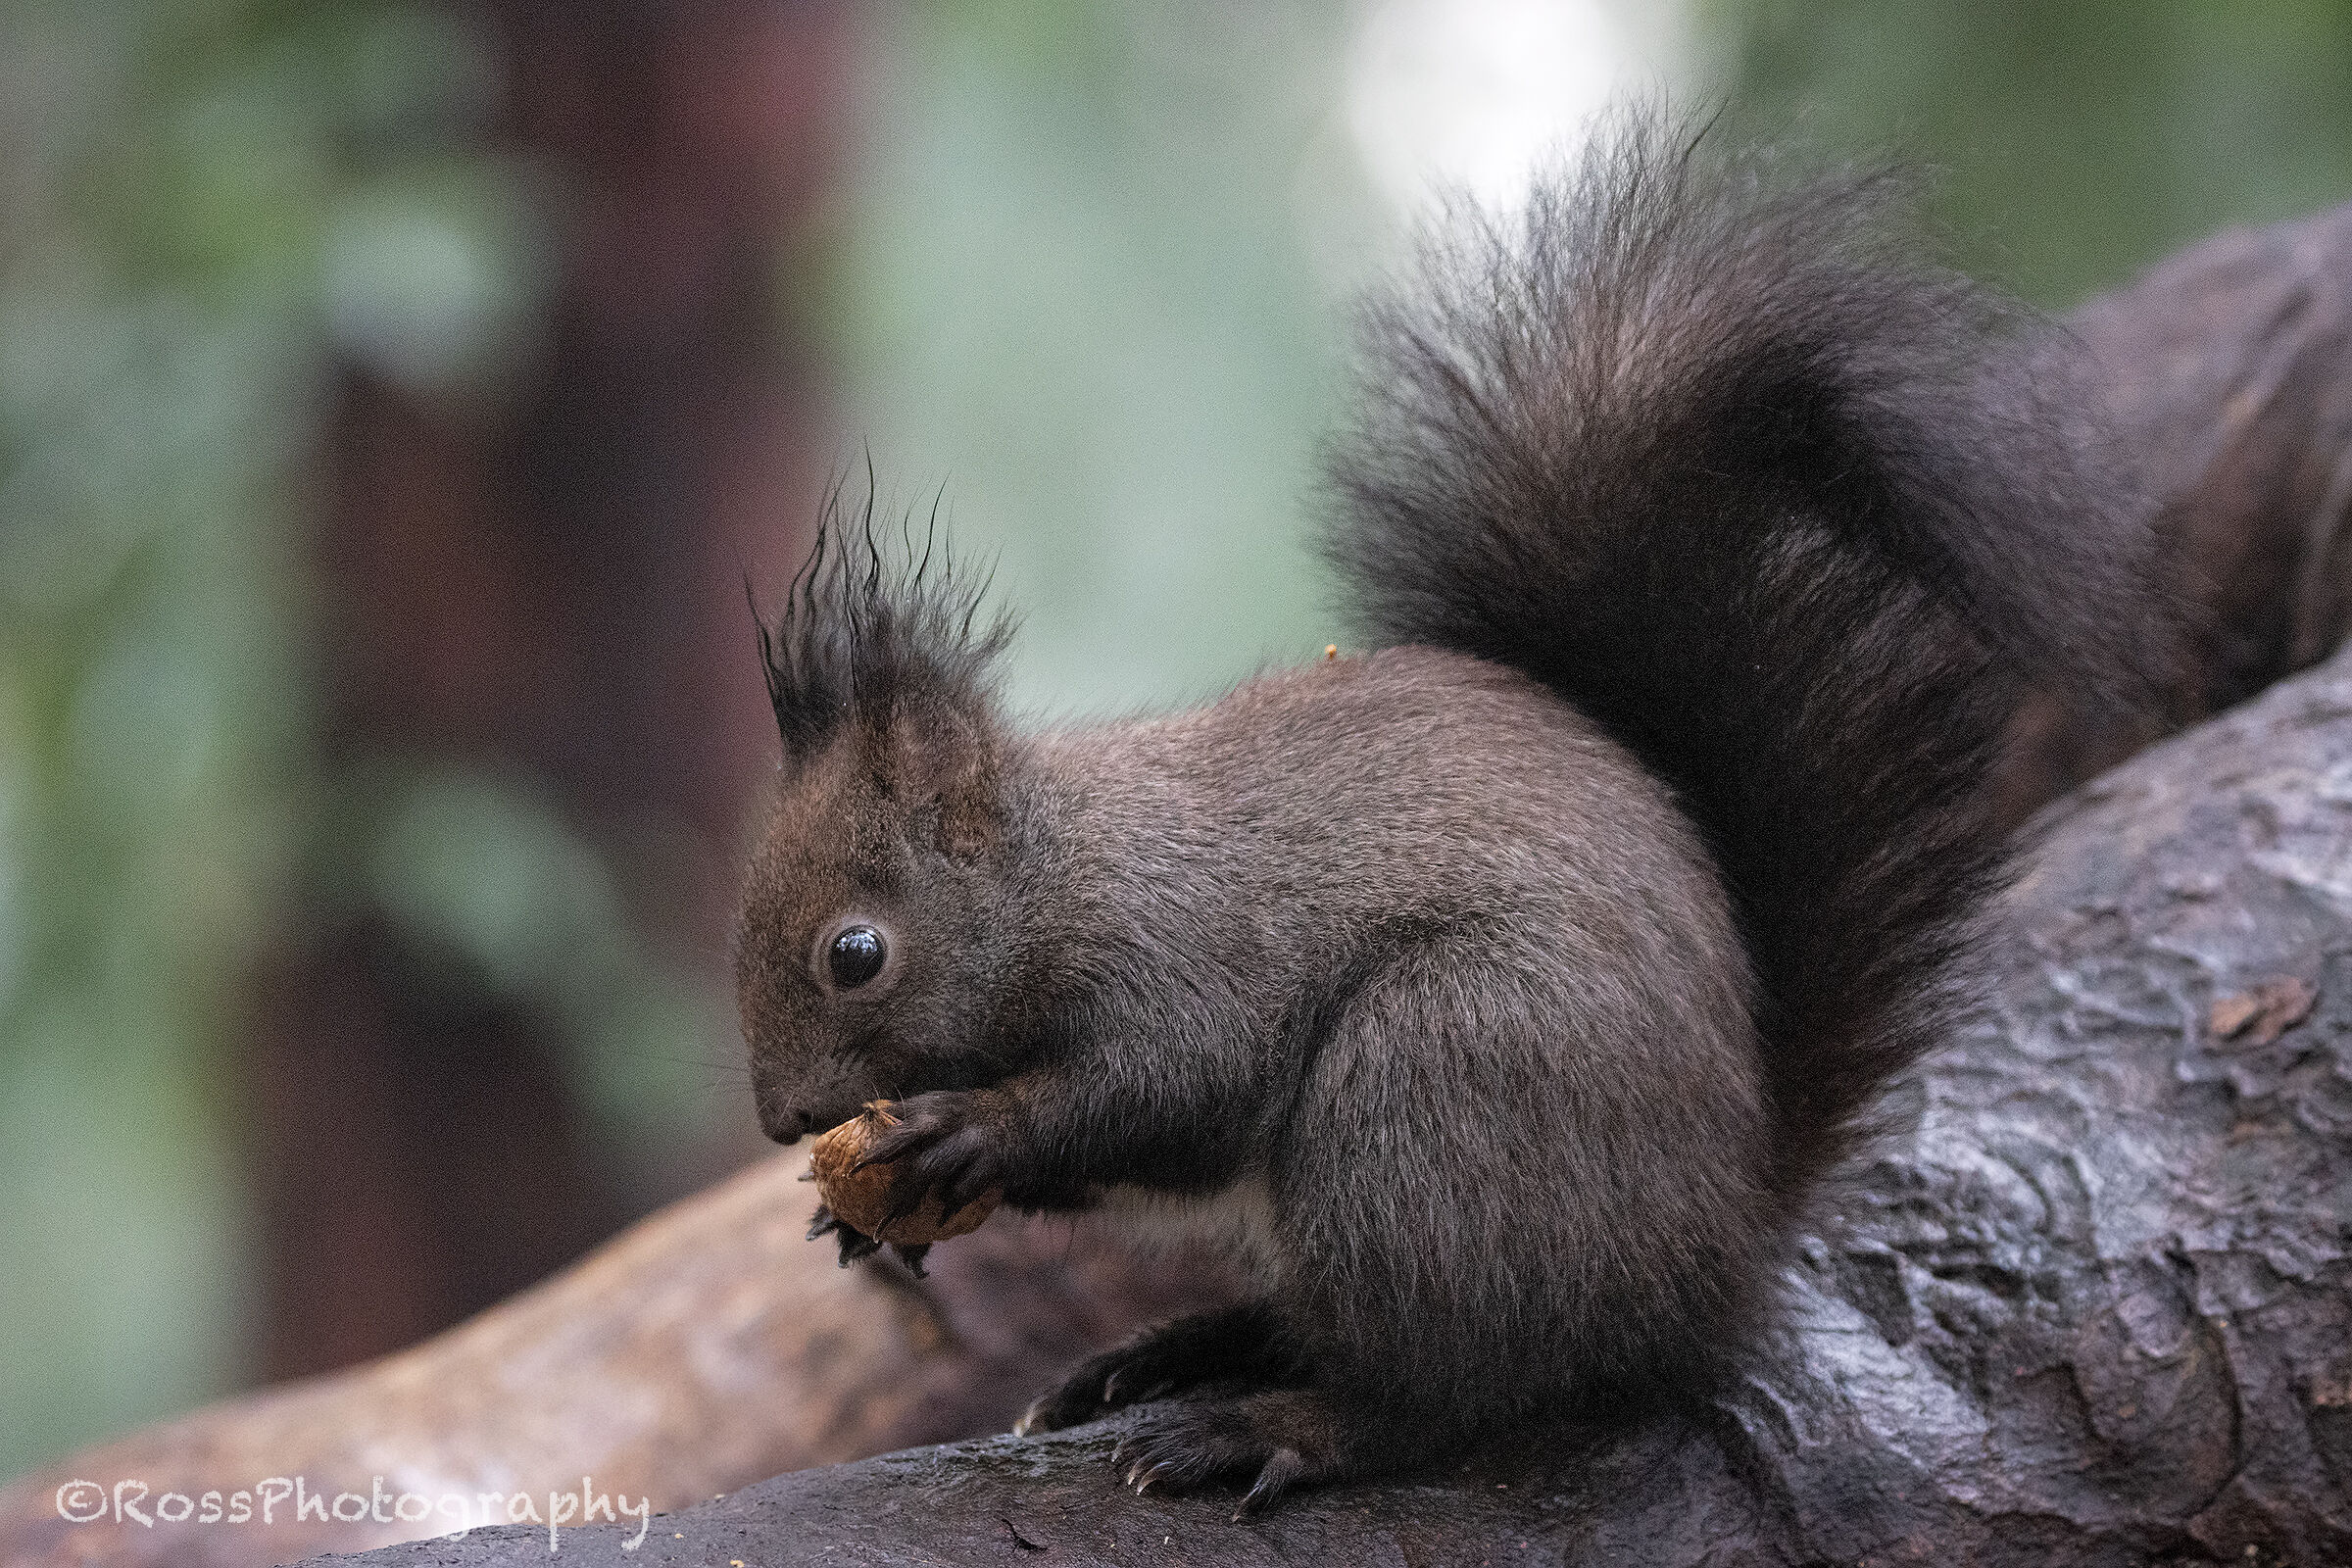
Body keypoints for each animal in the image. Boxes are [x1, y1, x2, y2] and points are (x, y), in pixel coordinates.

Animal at [732, 113, 2165, 1510]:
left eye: (855, 954)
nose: (785, 1121)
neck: (1062, 872)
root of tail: (1711, 1250)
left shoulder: (1187, 951)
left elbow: (1167, 1085)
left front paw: (970, 1127)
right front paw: (855, 1211)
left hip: (1435, 1093)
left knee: (1447, 1388)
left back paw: (1272, 1426)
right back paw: (1175, 1352)